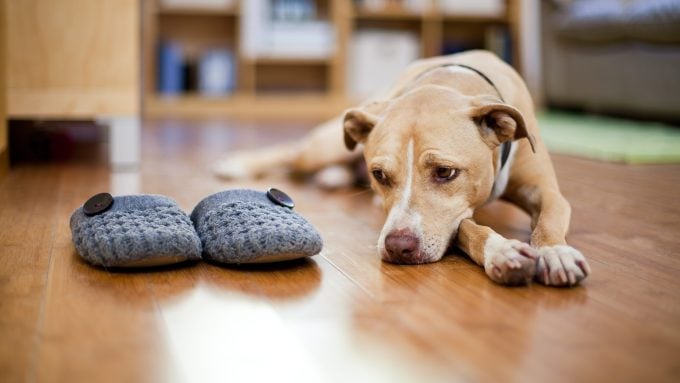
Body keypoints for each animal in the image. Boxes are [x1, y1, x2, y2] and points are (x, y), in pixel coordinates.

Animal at [215, 49, 592, 286]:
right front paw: (503, 251)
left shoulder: (546, 190)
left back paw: (333, 176)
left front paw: (554, 252)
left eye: (445, 172)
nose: (398, 247)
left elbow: (549, 219)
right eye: (380, 175)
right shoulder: (451, 220)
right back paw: (239, 163)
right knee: (292, 153)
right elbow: (469, 229)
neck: (449, 82)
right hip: (324, 145)